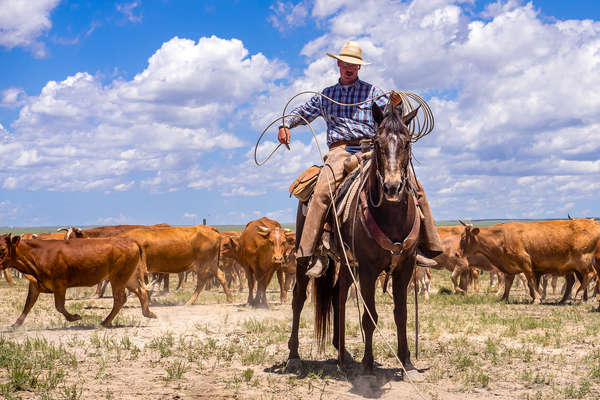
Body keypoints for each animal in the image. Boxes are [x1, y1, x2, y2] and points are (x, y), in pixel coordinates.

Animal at [0, 233, 155, 326]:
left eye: (2, 249)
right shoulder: (35, 285)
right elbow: (28, 304)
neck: (38, 255)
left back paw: (105, 322)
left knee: (120, 299)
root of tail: (130, 240)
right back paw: (149, 313)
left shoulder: (59, 284)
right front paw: (16, 325)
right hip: (128, 277)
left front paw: (75, 317)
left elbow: (59, 306)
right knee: (141, 291)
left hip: (118, 278)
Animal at [286, 103, 422, 378]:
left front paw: (407, 364)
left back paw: (343, 354)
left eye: (407, 143)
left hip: (348, 265)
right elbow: (369, 317)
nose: (392, 187)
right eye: (378, 143)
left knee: (337, 295)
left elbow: (401, 315)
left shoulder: (405, 267)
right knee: (298, 298)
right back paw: (294, 356)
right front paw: (368, 366)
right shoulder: (368, 269)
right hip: (304, 255)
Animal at [460, 219, 600, 304]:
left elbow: (531, 282)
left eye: (463, 238)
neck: (501, 237)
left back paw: (578, 296)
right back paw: (574, 299)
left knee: (590, 275)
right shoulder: (510, 267)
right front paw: (504, 298)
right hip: (576, 268)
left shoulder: (526, 264)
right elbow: (508, 283)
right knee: (578, 280)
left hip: (583, 261)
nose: (458, 253)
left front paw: (536, 298)